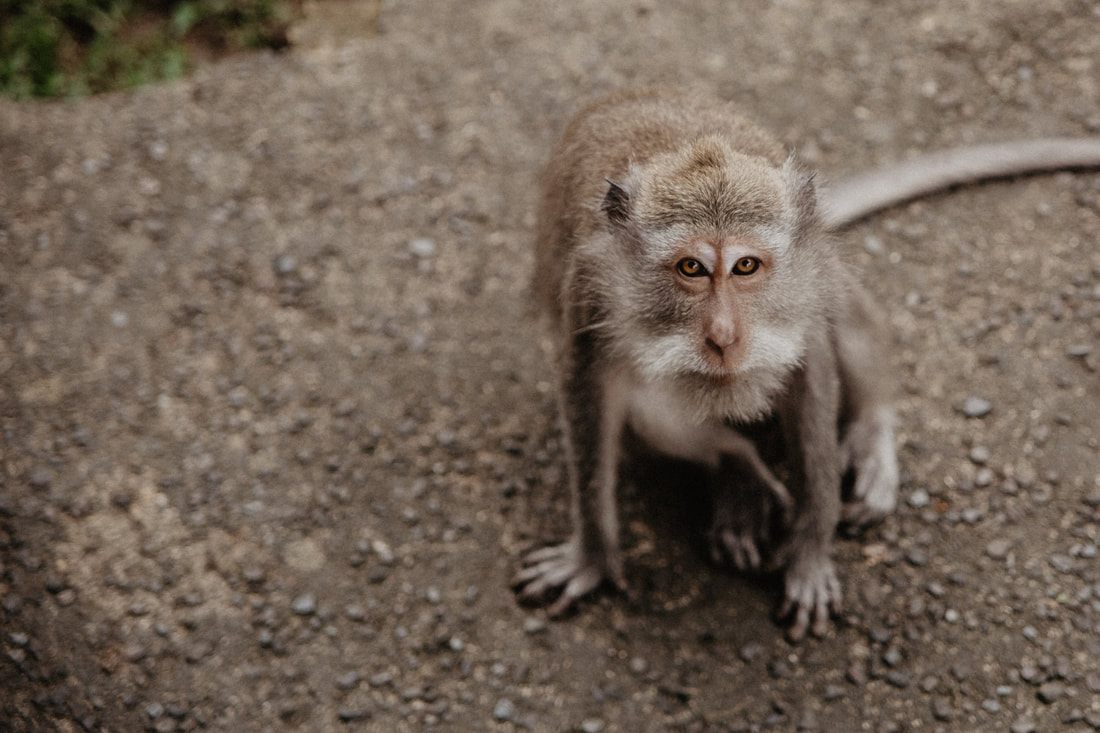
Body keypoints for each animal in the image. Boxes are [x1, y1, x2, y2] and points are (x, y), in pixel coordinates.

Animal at [512, 88, 1100, 640]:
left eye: (746, 266)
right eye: (691, 268)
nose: (724, 336)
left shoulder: (804, 290)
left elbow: (812, 372)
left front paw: (811, 551)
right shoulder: (588, 292)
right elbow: (591, 396)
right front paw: (593, 555)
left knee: (843, 312)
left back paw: (870, 433)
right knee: (651, 408)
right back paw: (737, 469)